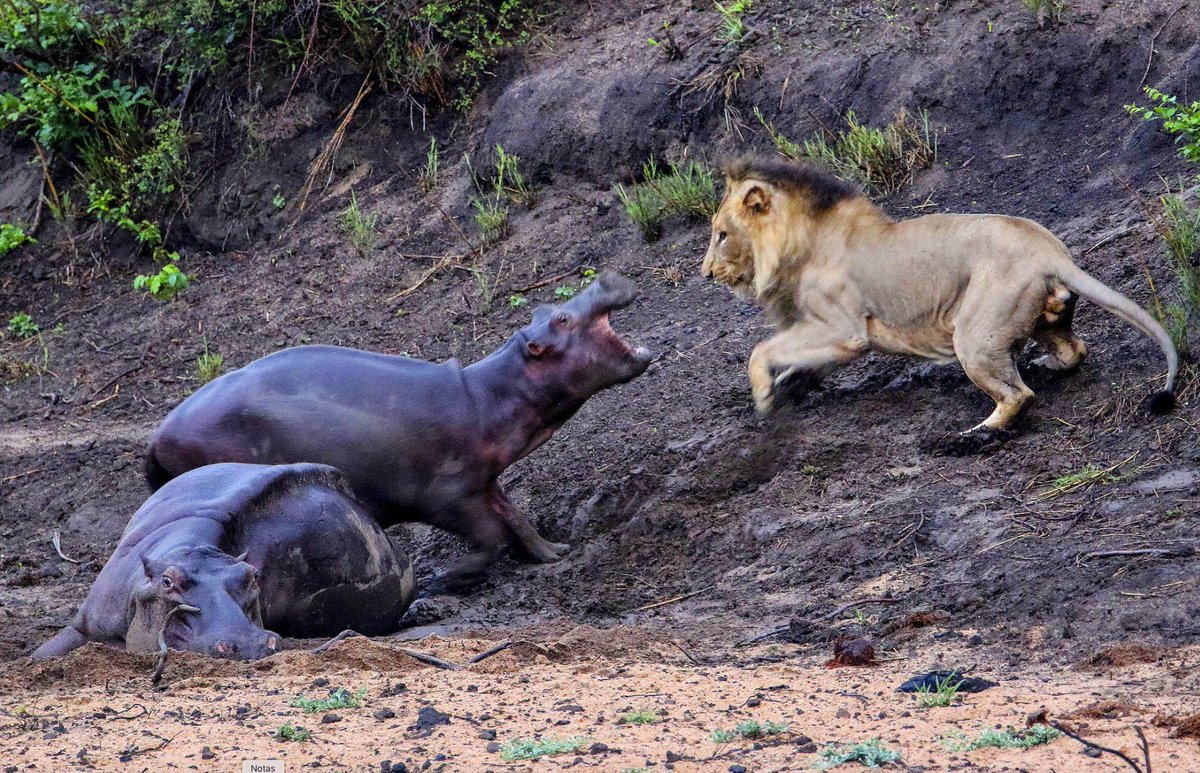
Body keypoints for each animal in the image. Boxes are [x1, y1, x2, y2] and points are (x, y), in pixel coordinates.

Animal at [145, 271, 652, 592]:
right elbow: (490, 536)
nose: (604, 279)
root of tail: (157, 433)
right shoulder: (446, 493)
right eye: (562, 319)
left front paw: (553, 551)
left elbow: (515, 516)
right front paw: (446, 578)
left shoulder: (483, 481)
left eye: (549, 308)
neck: (490, 392)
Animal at [700, 156, 1180, 444]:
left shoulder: (844, 330)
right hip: (1042, 318)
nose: (706, 273)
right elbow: (798, 363)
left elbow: (762, 350)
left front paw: (764, 396)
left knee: (1017, 394)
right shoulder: (831, 335)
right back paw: (1045, 365)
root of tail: (1052, 253)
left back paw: (971, 437)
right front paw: (786, 388)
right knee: (1075, 349)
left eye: (721, 234)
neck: (796, 246)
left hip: (974, 335)